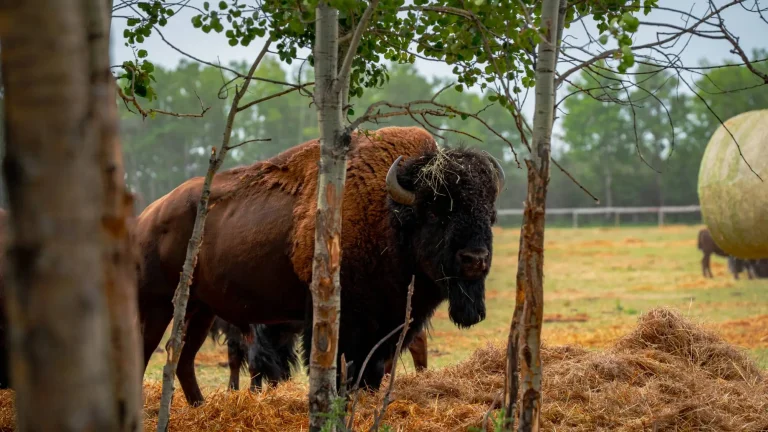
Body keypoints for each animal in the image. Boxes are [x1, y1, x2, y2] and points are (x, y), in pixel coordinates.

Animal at [133, 126, 504, 406]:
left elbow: (371, 372)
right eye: (437, 212)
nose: (475, 259)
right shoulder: (339, 321)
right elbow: (342, 370)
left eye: (490, 215)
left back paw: (201, 407)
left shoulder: (387, 327)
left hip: (200, 309)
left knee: (183, 361)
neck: (389, 216)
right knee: (146, 354)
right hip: (158, 305)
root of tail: (147, 217)